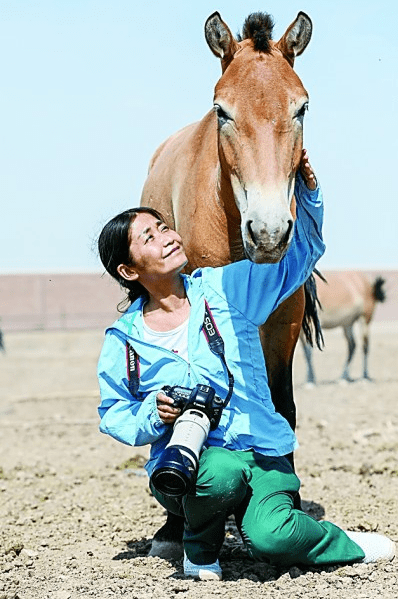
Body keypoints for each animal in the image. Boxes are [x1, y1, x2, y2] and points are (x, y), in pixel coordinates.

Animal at [140, 9, 318, 560]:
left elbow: (282, 405)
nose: (269, 232)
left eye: (301, 108)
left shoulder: (283, 321)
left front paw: (288, 502)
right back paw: (172, 526)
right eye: (222, 110)